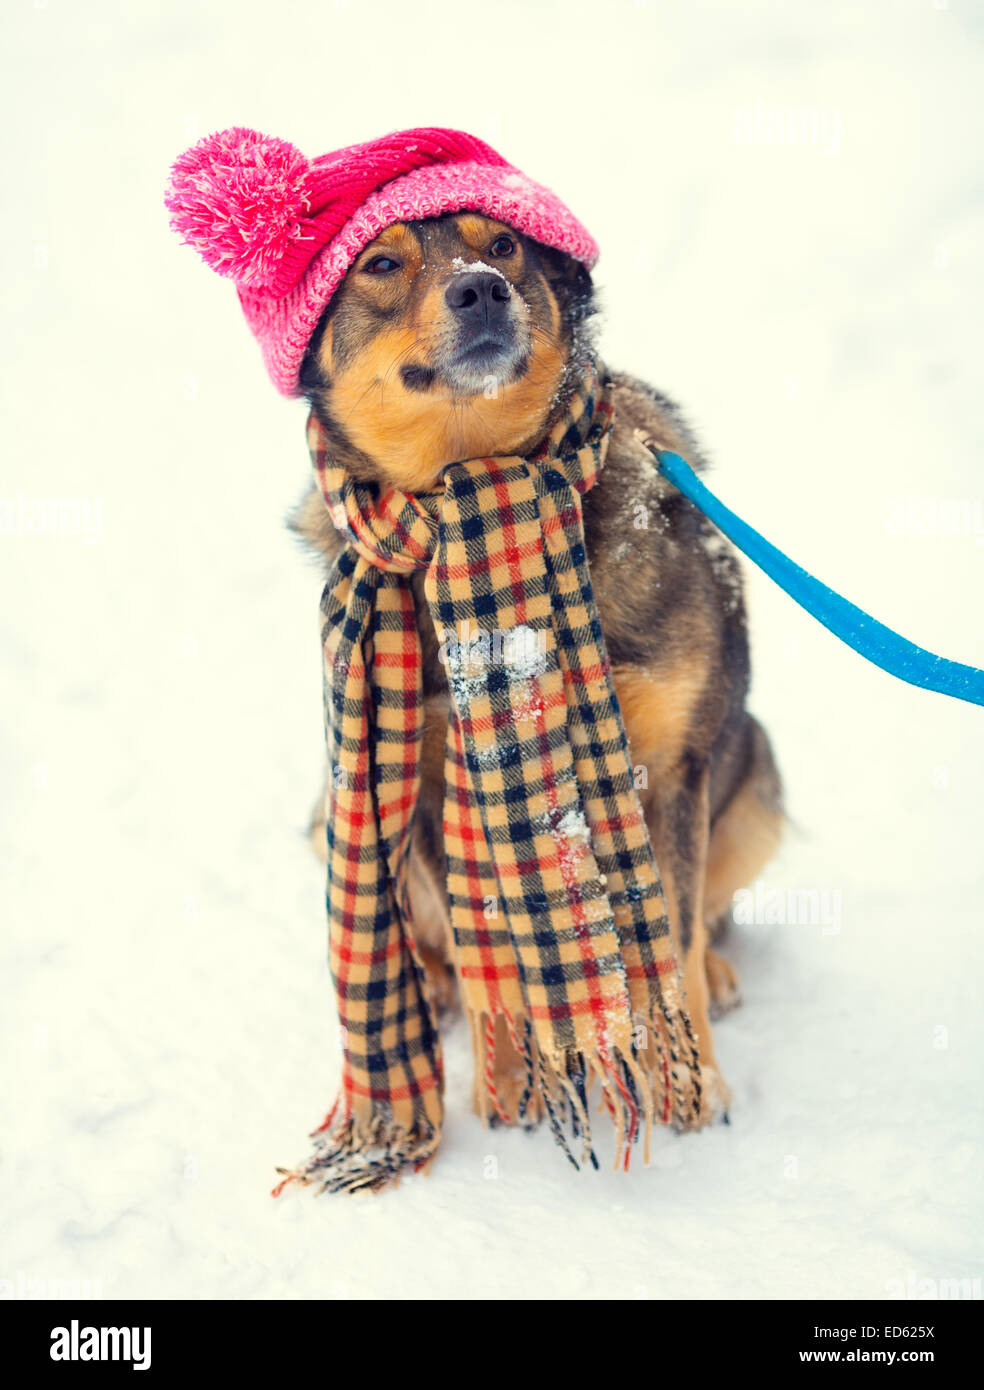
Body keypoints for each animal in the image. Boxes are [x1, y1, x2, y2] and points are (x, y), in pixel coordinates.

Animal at [291, 211, 783, 1123]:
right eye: (380, 264)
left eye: (505, 245)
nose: (481, 287)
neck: (482, 489)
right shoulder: (443, 780)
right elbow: (490, 955)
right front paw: (513, 1093)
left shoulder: (672, 766)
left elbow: (674, 936)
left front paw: (690, 1085)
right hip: (333, 814)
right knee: (429, 937)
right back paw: (431, 990)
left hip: (757, 780)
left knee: (709, 912)